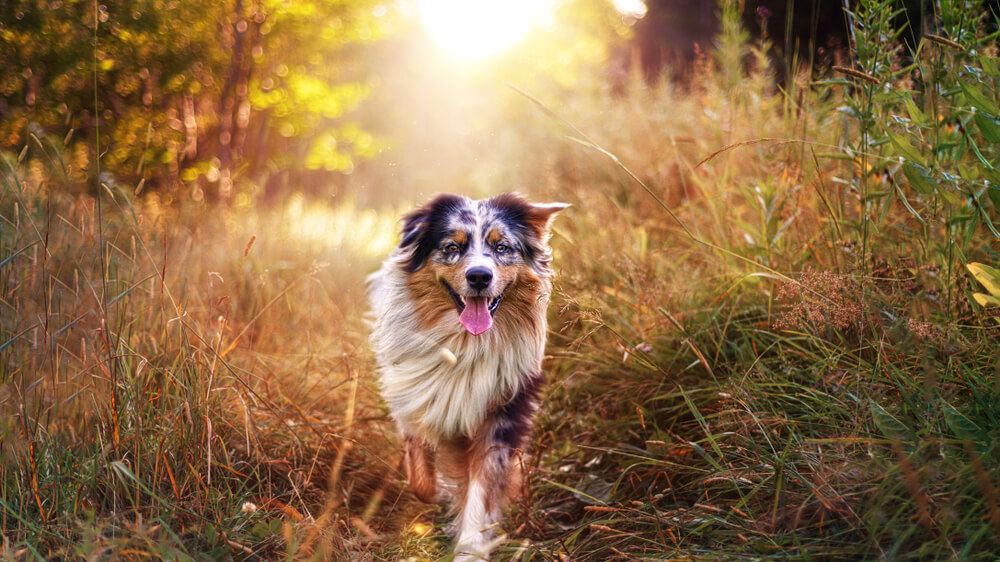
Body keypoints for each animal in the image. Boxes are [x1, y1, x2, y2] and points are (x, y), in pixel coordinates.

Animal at [370, 191, 572, 556]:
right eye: (452, 247)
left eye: (502, 247)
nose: (479, 276)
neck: (466, 342)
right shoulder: (413, 398)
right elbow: (420, 471)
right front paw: (440, 491)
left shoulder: (501, 414)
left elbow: (482, 487)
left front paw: (470, 548)